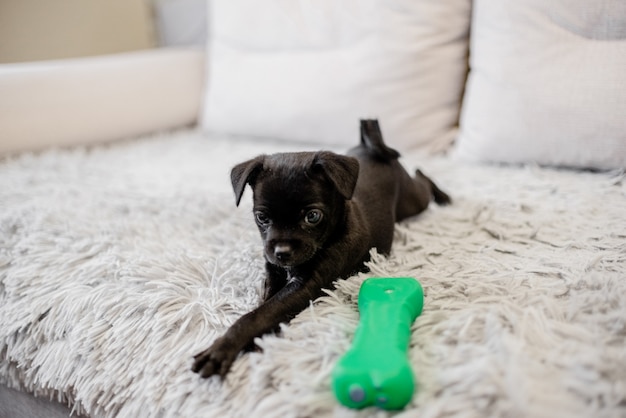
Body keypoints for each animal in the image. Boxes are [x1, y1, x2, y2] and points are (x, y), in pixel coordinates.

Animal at [191, 119, 448, 378]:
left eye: (312, 216)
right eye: (262, 218)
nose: (282, 252)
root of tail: (371, 147)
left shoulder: (306, 284)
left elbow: (262, 313)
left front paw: (222, 348)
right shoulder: (273, 270)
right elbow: (265, 303)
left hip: (412, 201)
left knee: (423, 181)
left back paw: (443, 196)